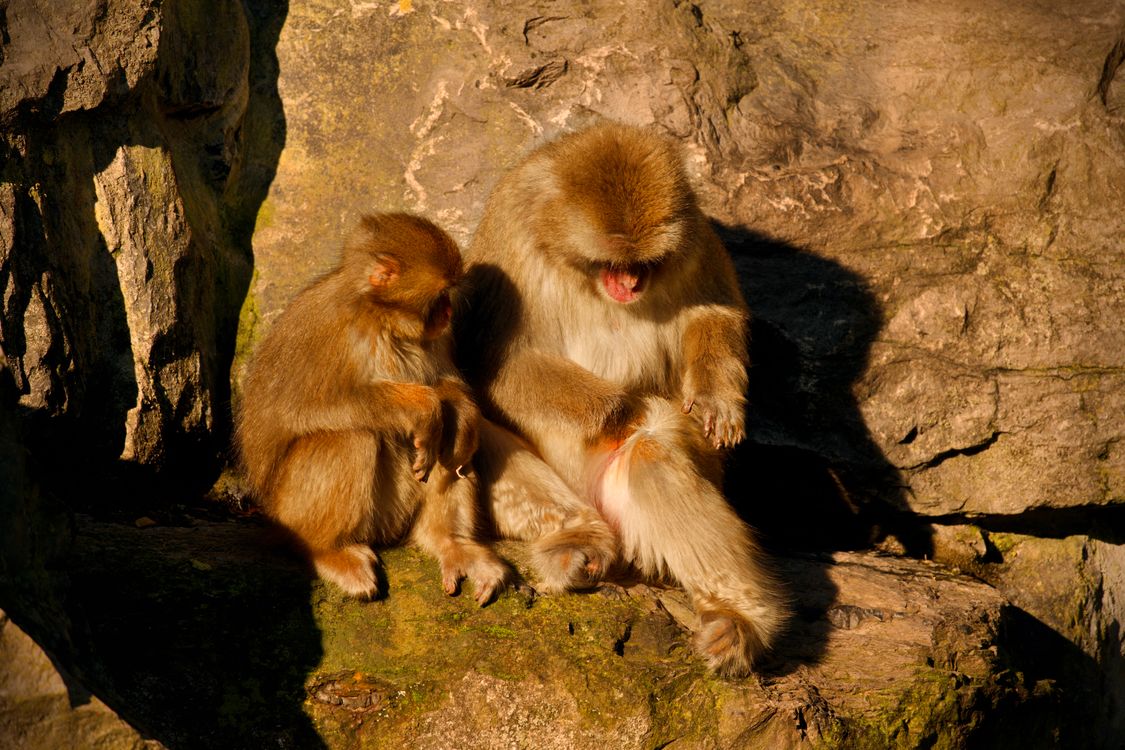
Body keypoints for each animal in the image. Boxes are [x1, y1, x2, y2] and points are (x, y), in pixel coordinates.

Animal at [237, 212, 507, 605]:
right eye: (440, 294)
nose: (448, 311)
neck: (381, 318)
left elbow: (445, 383)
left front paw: (462, 411)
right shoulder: (333, 333)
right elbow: (299, 408)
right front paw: (422, 406)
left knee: (449, 447)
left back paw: (449, 542)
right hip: (290, 514)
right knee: (352, 439)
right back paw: (327, 550)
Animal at [456, 122, 787, 676]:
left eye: (644, 263)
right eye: (610, 262)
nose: (631, 283)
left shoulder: (693, 235)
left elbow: (710, 313)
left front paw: (716, 400)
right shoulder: (509, 240)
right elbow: (492, 364)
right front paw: (618, 408)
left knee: (654, 452)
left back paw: (736, 617)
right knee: (465, 421)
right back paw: (577, 537)